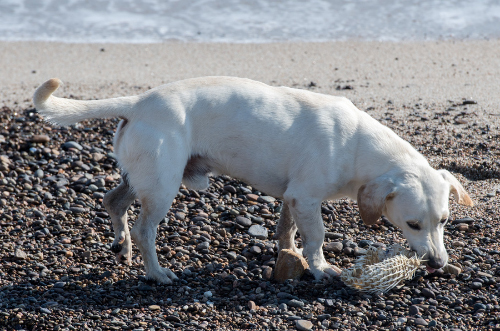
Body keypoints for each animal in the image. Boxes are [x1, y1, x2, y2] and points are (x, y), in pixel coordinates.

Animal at [34, 76, 472, 284]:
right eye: (412, 223)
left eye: (445, 221)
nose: (437, 264)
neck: (358, 145)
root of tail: (138, 102)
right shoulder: (308, 198)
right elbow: (317, 237)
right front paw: (320, 268)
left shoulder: (293, 198)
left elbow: (286, 232)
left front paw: (289, 256)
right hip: (162, 186)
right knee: (145, 229)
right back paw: (156, 272)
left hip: (144, 177)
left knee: (113, 200)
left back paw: (122, 247)